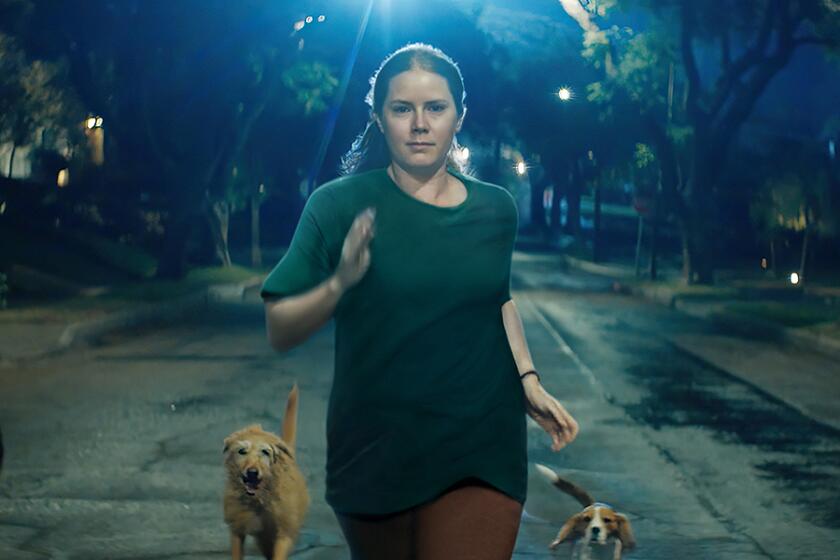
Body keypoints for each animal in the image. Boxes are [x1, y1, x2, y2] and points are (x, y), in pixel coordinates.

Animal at [225, 384, 310, 560]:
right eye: (242, 451)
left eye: (265, 452)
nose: (252, 472)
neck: (259, 501)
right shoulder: (238, 528)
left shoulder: (284, 533)